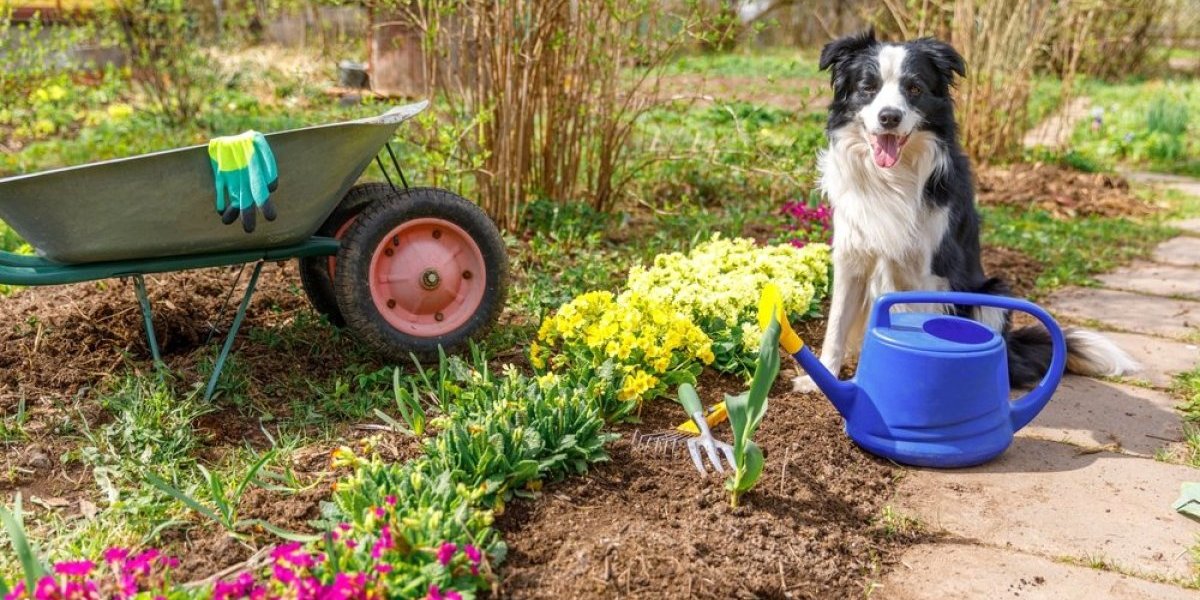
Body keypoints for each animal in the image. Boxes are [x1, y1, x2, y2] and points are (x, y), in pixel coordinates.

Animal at [792, 29, 1137, 393]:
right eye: (867, 87)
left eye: (914, 88)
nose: (889, 117)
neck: (892, 177)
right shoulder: (853, 257)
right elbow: (837, 325)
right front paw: (819, 380)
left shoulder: (929, 271)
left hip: (993, 291)